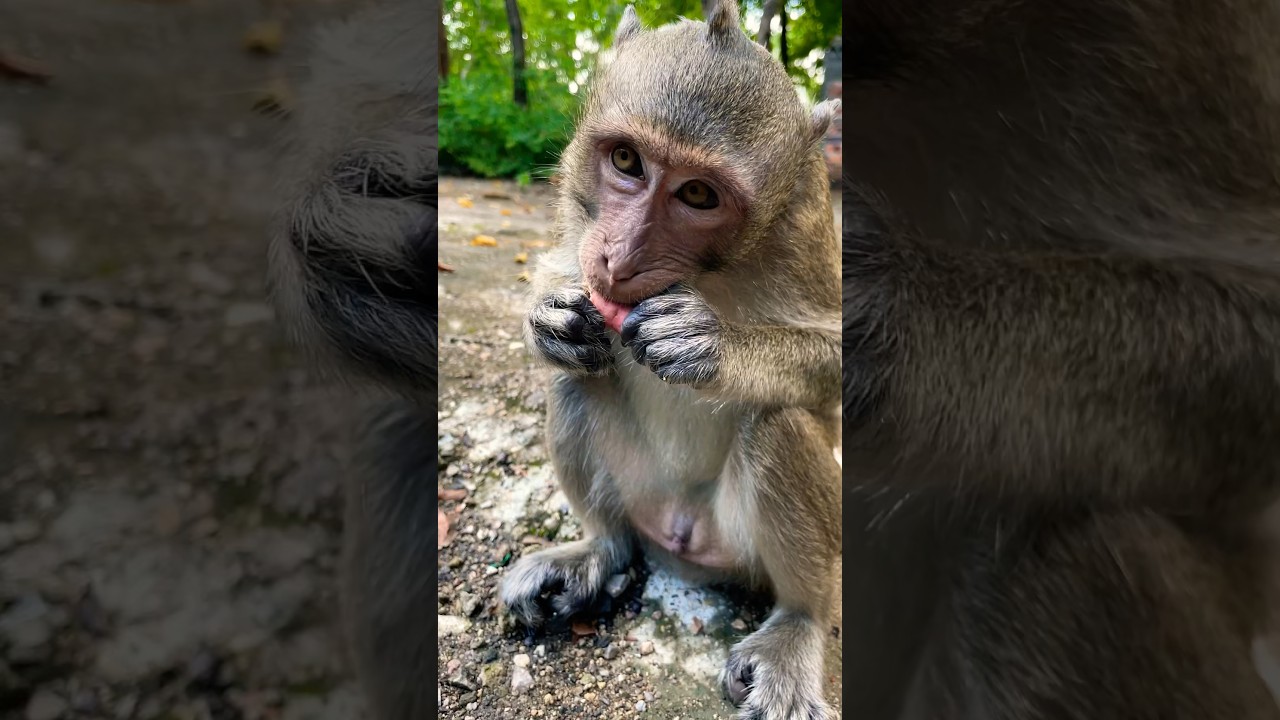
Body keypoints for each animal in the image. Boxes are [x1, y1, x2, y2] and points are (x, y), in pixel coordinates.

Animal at [496, 3, 842, 719]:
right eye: (626, 159)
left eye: (699, 196)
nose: (619, 258)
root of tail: (682, 539)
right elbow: (562, 276)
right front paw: (549, 318)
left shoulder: (809, 222)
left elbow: (838, 356)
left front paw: (709, 345)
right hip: (642, 498)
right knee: (574, 385)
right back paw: (598, 549)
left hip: (735, 541)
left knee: (780, 423)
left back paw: (799, 625)